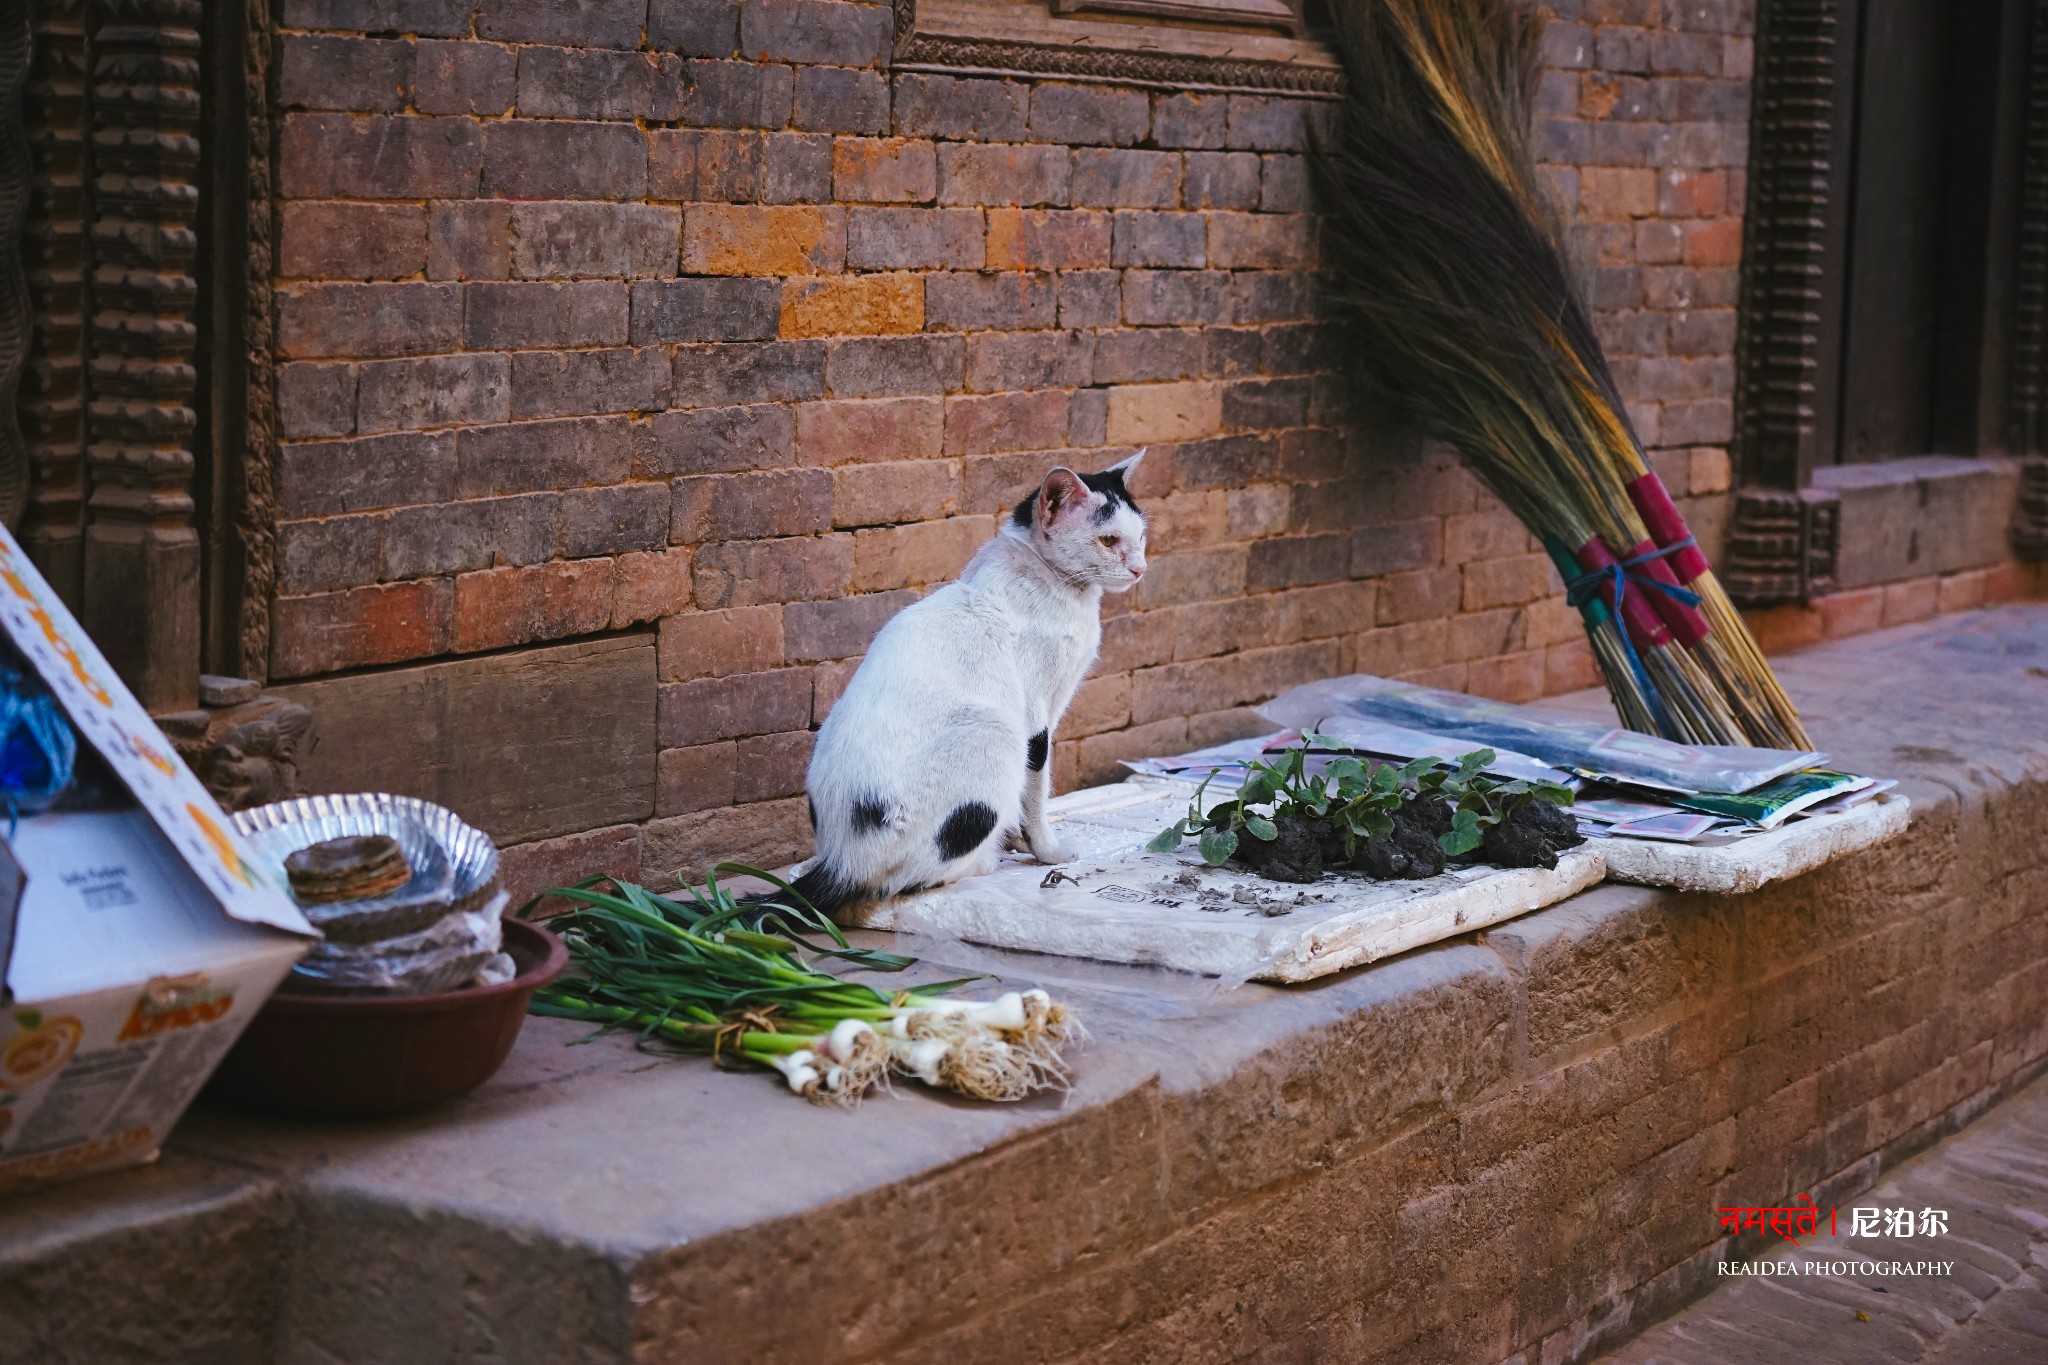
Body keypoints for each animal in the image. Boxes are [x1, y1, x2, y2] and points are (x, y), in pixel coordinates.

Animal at [778, 454, 1146, 912]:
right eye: (1109, 540)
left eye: (1141, 536)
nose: (1140, 568)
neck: (1052, 583)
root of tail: (840, 860)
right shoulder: (1036, 716)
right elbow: (1036, 789)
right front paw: (1046, 851)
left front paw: (1019, 840)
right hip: (997, 729)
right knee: (906, 880)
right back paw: (983, 861)